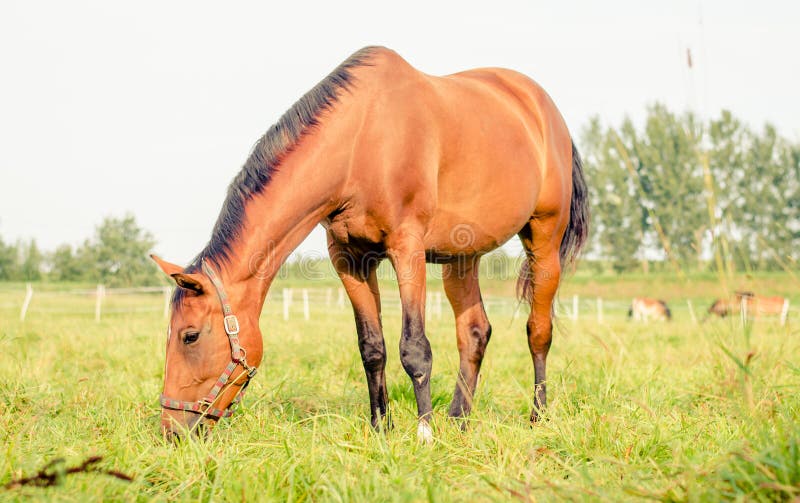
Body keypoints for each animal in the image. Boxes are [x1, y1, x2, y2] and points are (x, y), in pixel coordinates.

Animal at [150, 47, 592, 440]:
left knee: (538, 331)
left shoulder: (407, 249)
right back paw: (459, 421)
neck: (360, 140)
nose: (172, 430)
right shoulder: (349, 259)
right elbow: (372, 347)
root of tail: (545, 111)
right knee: (474, 332)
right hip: (462, 256)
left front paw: (424, 434)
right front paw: (382, 428)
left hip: (543, 239)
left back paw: (536, 417)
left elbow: (414, 347)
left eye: (190, 335)